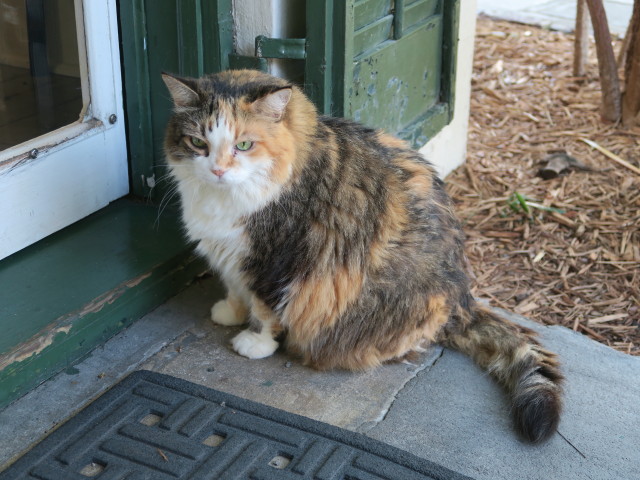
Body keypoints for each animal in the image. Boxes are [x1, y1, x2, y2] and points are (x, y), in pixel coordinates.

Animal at [162, 69, 564, 444]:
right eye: (198, 142)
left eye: (244, 144)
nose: (218, 170)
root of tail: (461, 296)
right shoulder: (230, 255)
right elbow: (234, 287)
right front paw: (229, 312)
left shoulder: (272, 261)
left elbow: (264, 310)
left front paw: (255, 343)